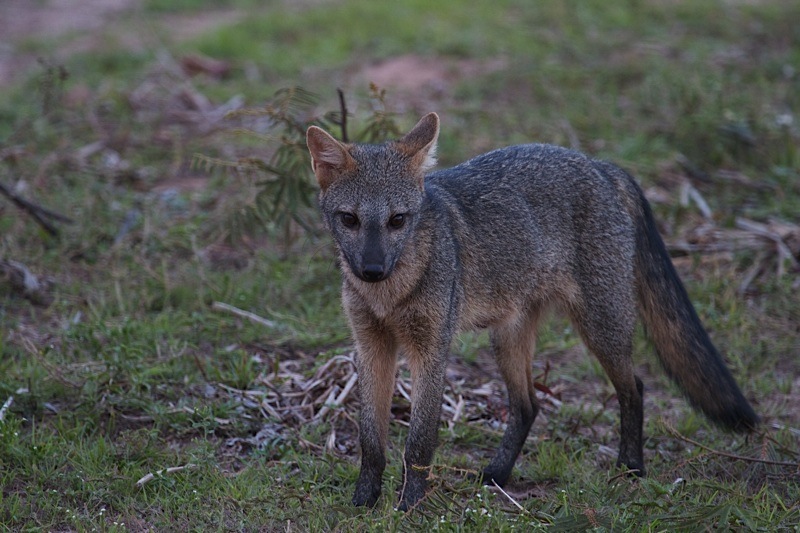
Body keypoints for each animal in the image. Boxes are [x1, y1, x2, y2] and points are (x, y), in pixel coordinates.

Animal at [304, 112, 756, 512]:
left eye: (398, 220)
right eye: (350, 220)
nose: (372, 270)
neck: (388, 295)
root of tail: (600, 164)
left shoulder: (430, 349)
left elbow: (419, 441)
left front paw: (410, 504)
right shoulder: (371, 347)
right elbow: (371, 440)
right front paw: (364, 500)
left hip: (601, 329)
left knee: (635, 389)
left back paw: (630, 467)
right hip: (508, 340)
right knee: (528, 406)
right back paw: (497, 474)